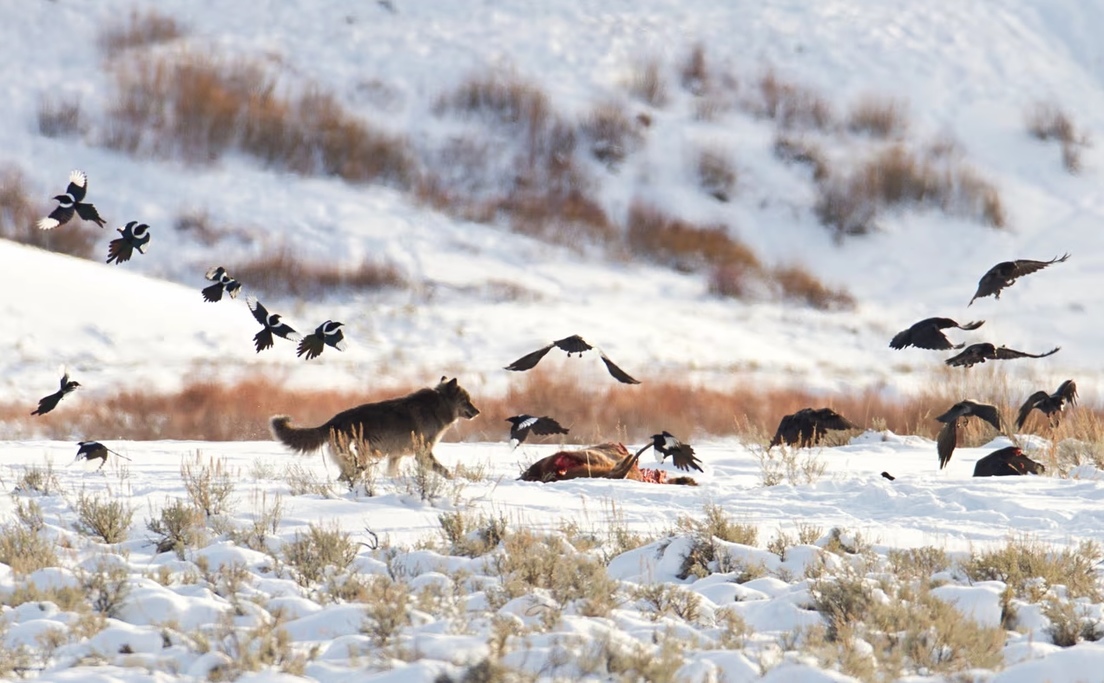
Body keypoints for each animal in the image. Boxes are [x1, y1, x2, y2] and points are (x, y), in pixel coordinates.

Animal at [270, 377, 479, 478]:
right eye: (467, 400)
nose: (478, 412)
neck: (437, 407)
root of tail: (333, 421)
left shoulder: (396, 456)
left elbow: (392, 474)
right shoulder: (423, 454)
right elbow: (446, 472)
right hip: (357, 461)